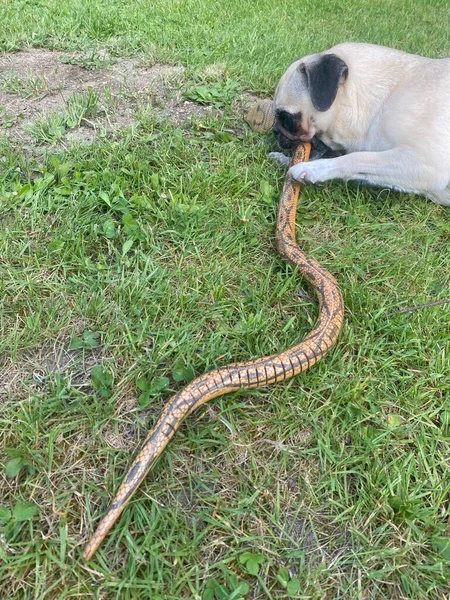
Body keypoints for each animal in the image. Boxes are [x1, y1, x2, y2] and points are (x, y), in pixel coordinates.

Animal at [270, 42, 450, 206]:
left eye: (287, 119)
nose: (275, 131)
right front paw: (284, 159)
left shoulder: (426, 164)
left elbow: (357, 157)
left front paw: (313, 169)